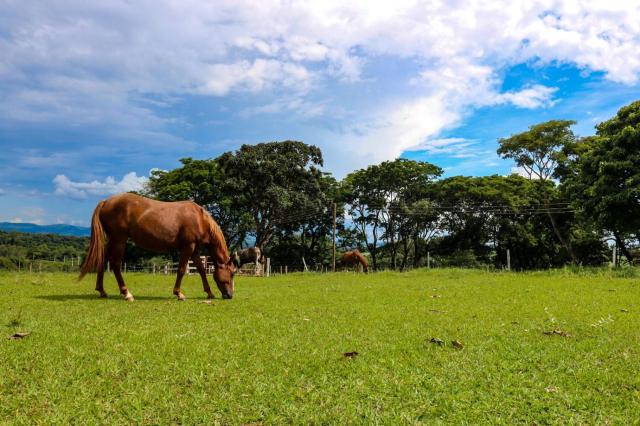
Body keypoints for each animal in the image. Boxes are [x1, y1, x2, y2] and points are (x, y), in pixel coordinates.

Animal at [79, 193, 236, 300]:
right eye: (232, 273)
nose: (229, 295)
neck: (200, 218)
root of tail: (106, 202)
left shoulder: (194, 250)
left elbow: (202, 270)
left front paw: (209, 293)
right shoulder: (187, 247)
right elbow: (181, 270)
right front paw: (179, 293)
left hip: (113, 240)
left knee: (103, 259)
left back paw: (102, 290)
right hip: (119, 240)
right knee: (116, 264)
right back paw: (126, 293)